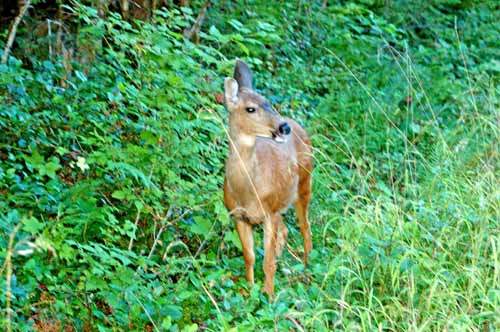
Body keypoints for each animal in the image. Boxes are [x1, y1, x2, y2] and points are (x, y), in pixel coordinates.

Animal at [223, 59, 312, 296]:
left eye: (269, 103)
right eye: (250, 109)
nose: (283, 127)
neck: (248, 190)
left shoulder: (269, 213)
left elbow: (267, 262)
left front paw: (269, 296)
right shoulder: (238, 215)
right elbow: (250, 257)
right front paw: (250, 290)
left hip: (304, 184)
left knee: (305, 226)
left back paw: (307, 268)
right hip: (280, 204)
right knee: (286, 230)